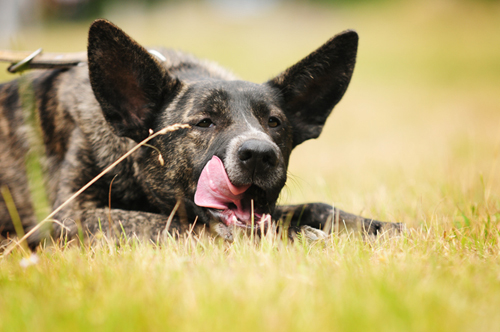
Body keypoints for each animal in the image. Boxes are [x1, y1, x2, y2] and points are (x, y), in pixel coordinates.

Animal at [0, 18, 398, 246]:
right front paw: (301, 237)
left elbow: (316, 206)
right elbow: (172, 225)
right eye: (204, 122)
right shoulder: (69, 216)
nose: (259, 155)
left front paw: (374, 227)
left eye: (275, 123)